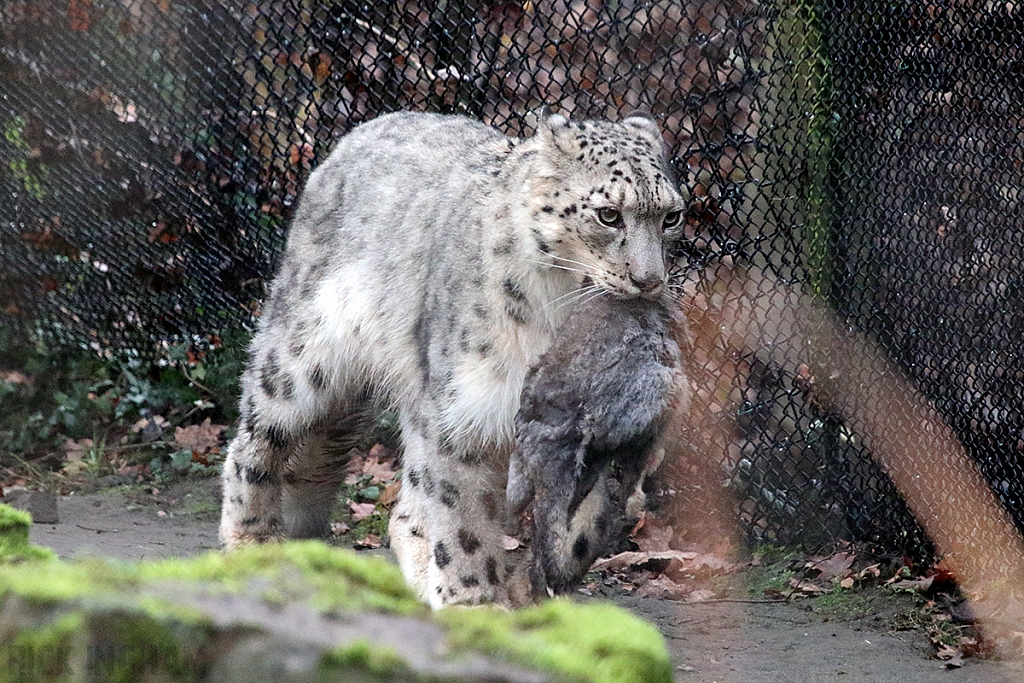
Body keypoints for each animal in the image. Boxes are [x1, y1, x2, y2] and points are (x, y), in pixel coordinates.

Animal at [223, 108, 688, 610]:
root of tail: (359, 134)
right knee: (255, 438)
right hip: (303, 355)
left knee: (407, 505)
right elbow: (462, 514)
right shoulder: (463, 412)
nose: (649, 280)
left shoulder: (605, 437)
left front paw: (528, 590)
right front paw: (475, 602)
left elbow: (589, 524)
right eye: (608, 214)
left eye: (672, 216)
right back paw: (250, 541)